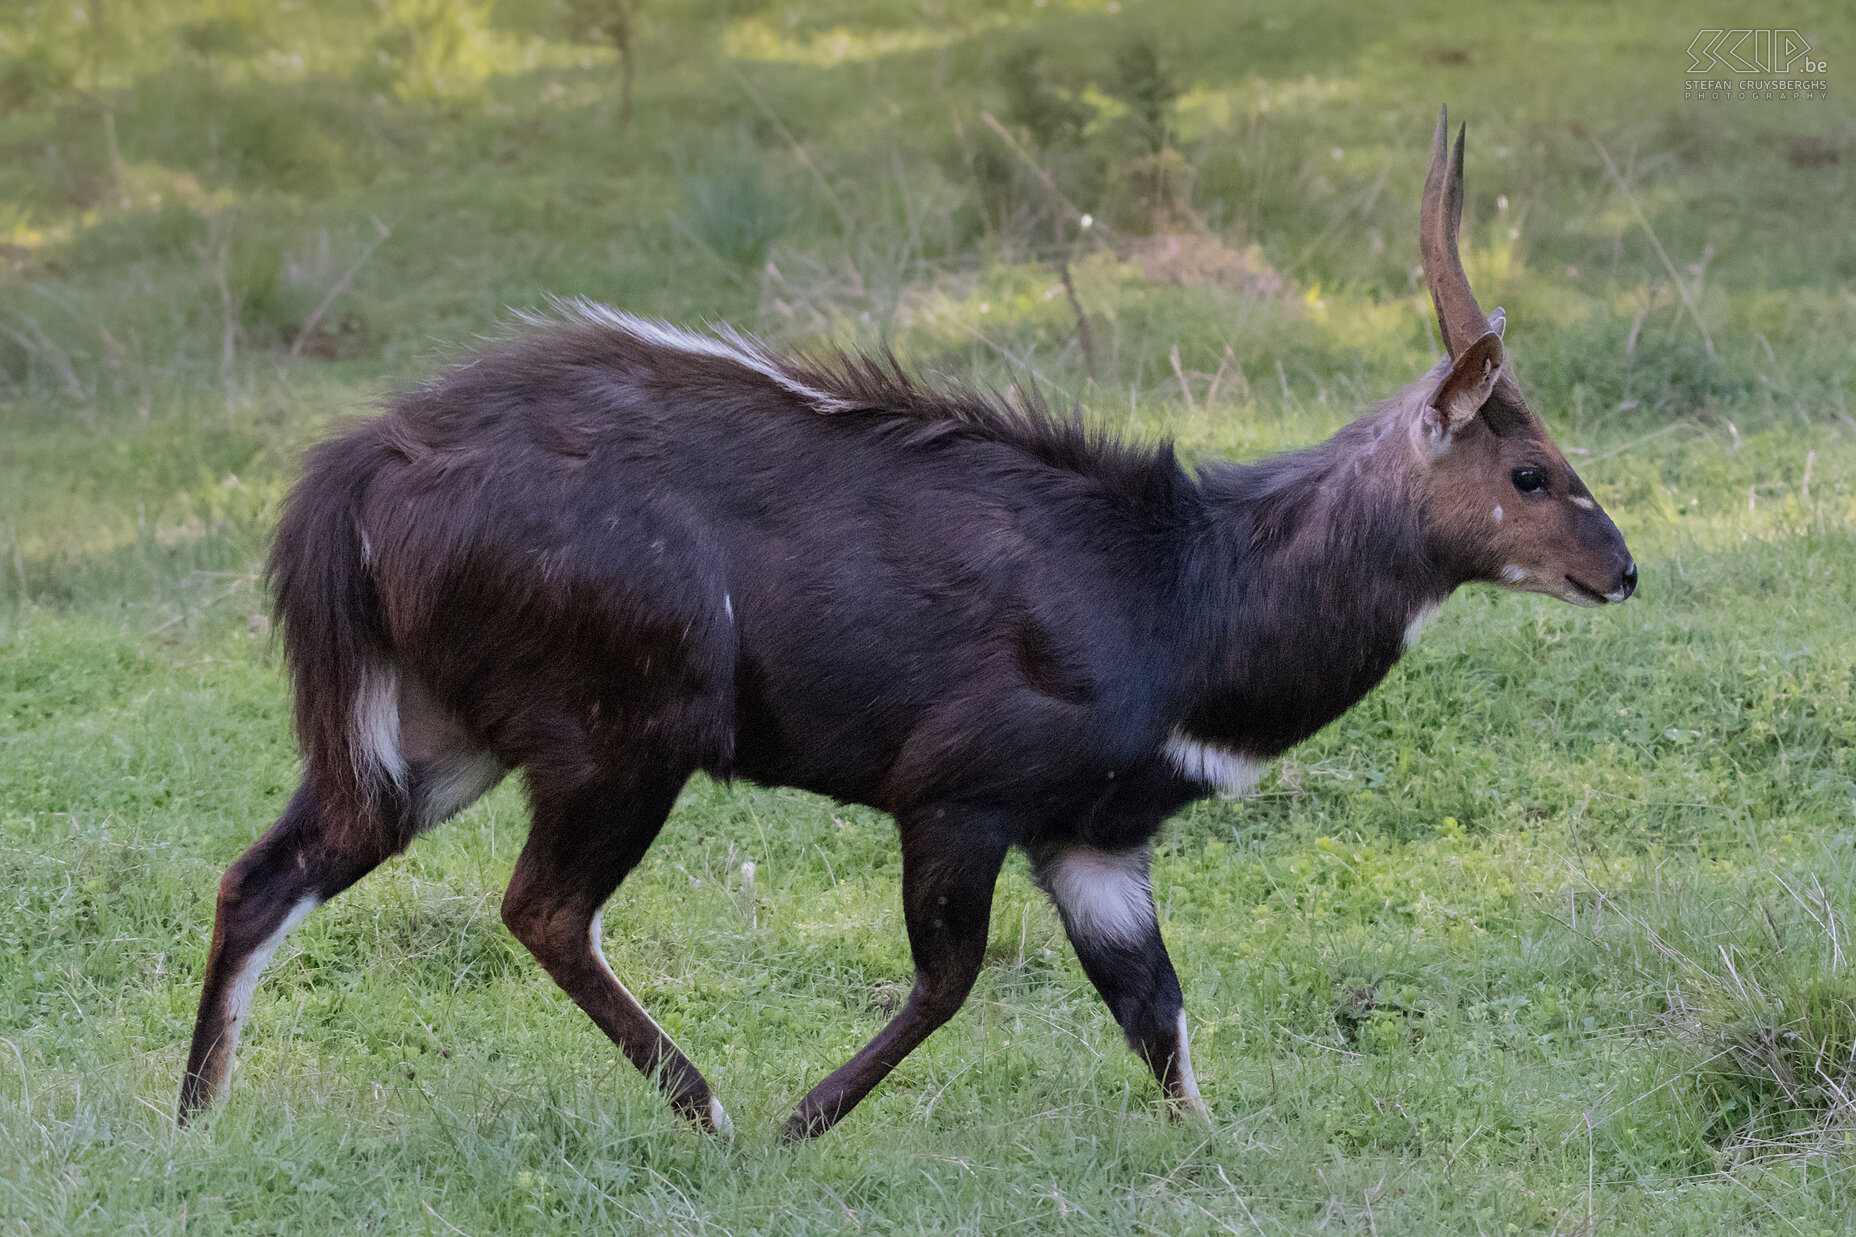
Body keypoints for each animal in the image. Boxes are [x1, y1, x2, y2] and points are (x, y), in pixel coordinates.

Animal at [184, 110, 1640, 1144]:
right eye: (1530, 473)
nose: (1622, 570)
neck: (1187, 584)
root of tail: (366, 465)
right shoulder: (956, 797)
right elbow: (954, 980)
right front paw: (794, 1124)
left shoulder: (1093, 843)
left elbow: (1157, 1015)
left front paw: (1216, 1150)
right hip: (622, 738)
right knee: (541, 907)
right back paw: (709, 1111)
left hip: (441, 741)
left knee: (265, 873)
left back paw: (198, 1121)